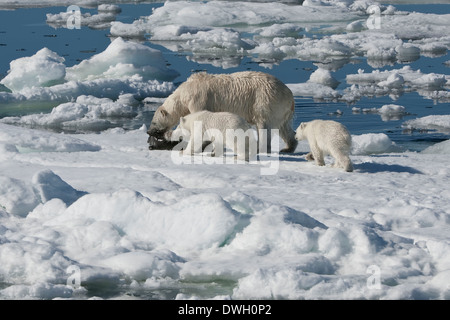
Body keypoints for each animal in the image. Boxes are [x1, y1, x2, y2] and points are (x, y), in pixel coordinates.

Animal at [146, 71, 298, 154]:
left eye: (153, 122)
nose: (148, 132)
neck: (184, 93)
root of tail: (289, 95)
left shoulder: (198, 100)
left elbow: (200, 122)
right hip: (282, 110)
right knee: (284, 128)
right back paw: (288, 148)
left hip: (264, 101)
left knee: (264, 125)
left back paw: (260, 148)